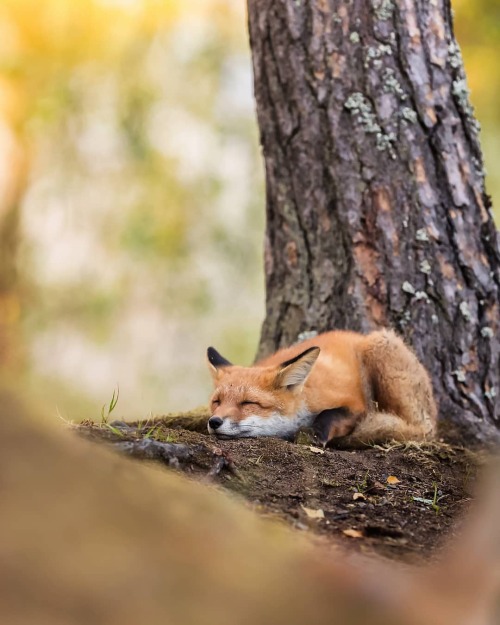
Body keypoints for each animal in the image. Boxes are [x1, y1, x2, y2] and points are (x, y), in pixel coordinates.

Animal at [207, 330, 438, 446]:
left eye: (248, 403)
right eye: (217, 402)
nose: (214, 422)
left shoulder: (356, 404)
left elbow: (330, 414)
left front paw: (315, 435)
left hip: (380, 346)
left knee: (417, 430)